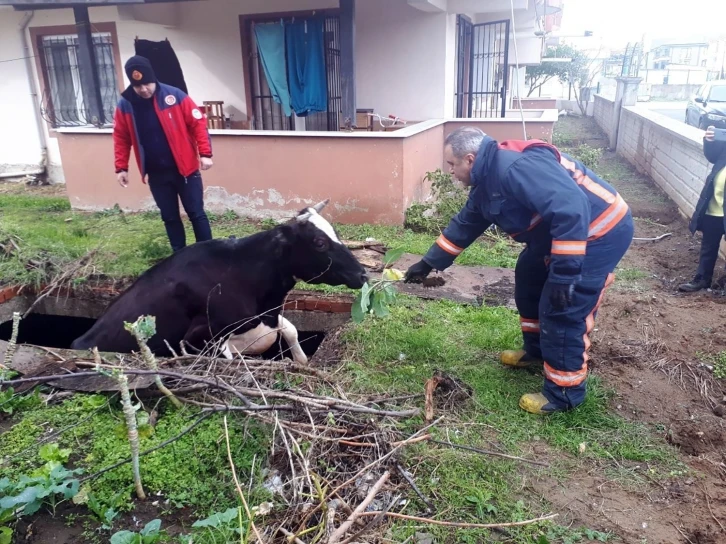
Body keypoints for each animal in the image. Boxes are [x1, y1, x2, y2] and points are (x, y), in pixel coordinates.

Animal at [69, 200, 370, 362]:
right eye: (319, 242)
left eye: (335, 232)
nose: (363, 274)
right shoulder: (196, 339)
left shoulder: (269, 317)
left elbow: (291, 330)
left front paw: (302, 361)